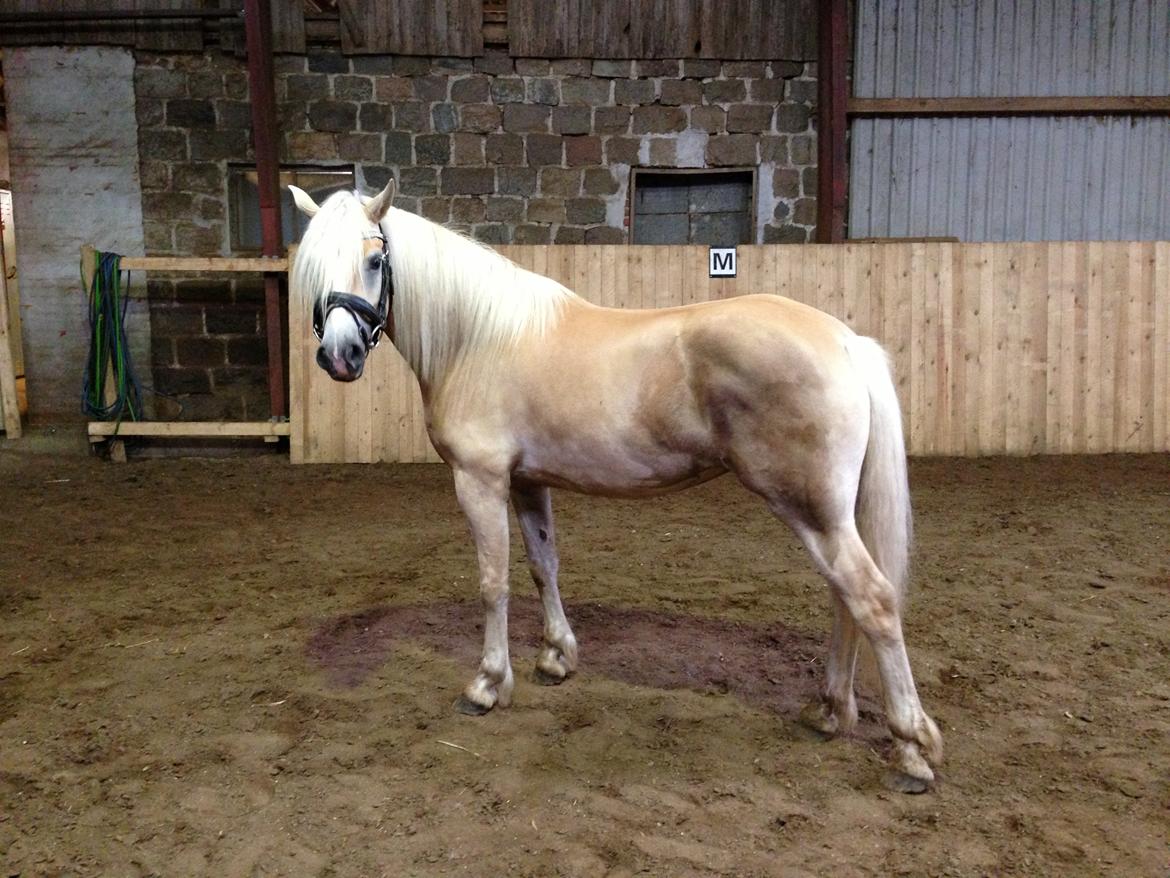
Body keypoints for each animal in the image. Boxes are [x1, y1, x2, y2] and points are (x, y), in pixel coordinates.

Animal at [287, 180, 945, 796]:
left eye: (376, 259)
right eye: (313, 266)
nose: (340, 356)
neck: (479, 338)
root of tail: (846, 342)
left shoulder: (480, 480)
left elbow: (493, 582)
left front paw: (488, 684)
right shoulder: (527, 482)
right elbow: (542, 566)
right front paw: (557, 657)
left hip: (811, 510)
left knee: (872, 600)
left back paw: (911, 750)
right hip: (828, 514)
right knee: (844, 598)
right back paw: (830, 711)